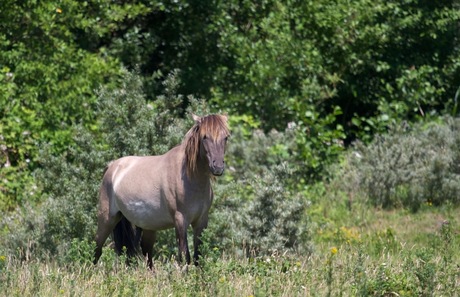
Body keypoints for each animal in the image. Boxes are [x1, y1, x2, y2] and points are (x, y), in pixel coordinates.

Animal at [93, 112, 230, 266]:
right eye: (205, 137)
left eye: (226, 137)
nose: (217, 167)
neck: (190, 179)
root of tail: (112, 166)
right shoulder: (180, 220)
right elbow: (185, 256)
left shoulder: (201, 221)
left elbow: (198, 256)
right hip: (107, 219)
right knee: (97, 248)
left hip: (148, 225)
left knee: (146, 250)